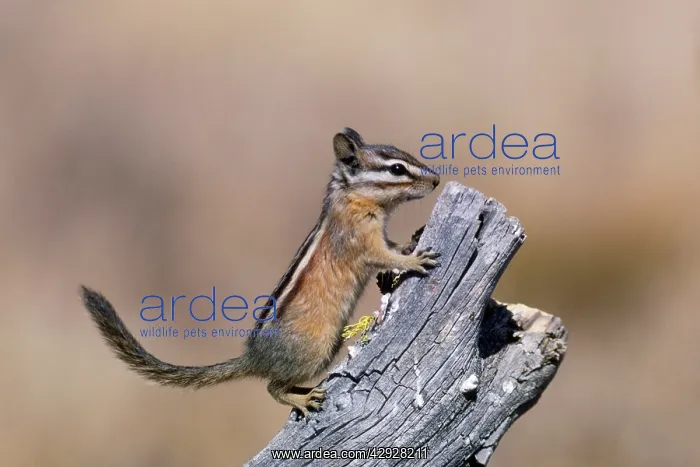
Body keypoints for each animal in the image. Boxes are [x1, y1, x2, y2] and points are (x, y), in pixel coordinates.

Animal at [81, 128, 441, 417]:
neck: (351, 198)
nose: (436, 179)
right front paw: (415, 260)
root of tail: (254, 358)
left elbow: (391, 246)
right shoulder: (358, 239)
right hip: (314, 349)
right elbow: (382, 256)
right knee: (272, 388)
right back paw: (302, 399)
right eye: (397, 168)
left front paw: (410, 243)